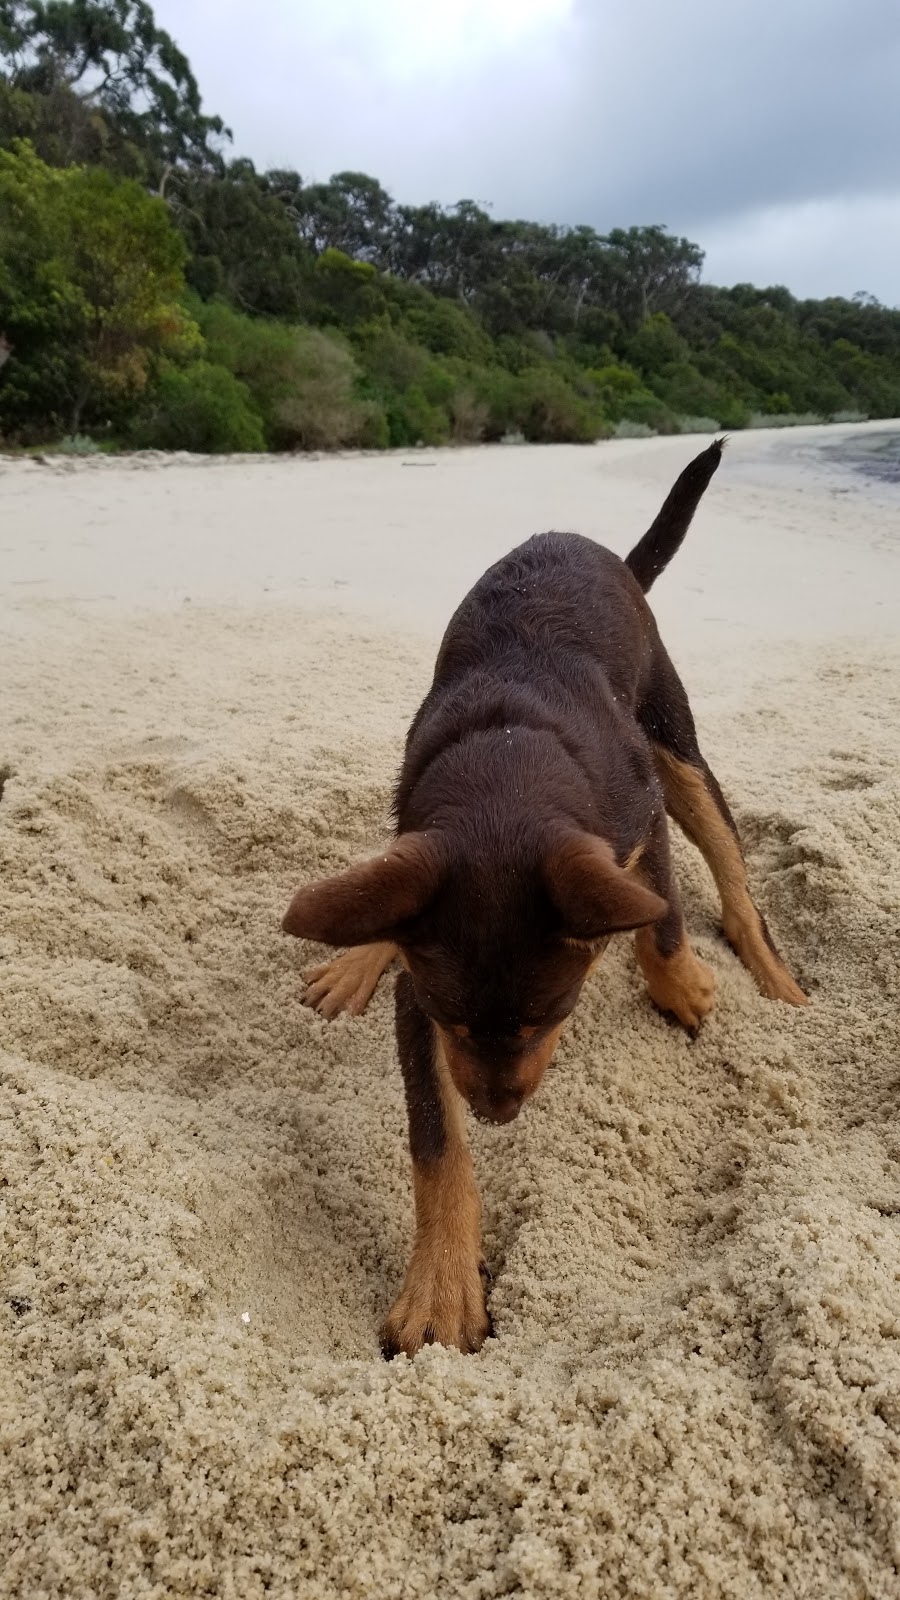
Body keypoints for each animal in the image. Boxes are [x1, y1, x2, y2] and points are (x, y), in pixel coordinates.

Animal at [278, 441, 797, 1363]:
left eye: (552, 1015)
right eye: (452, 1025)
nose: (497, 1115)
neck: (507, 758)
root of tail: (596, 549)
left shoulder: (635, 822)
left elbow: (661, 916)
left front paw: (684, 986)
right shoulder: (424, 987)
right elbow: (434, 1143)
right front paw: (442, 1287)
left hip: (674, 740)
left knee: (730, 870)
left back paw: (772, 977)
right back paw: (358, 952)